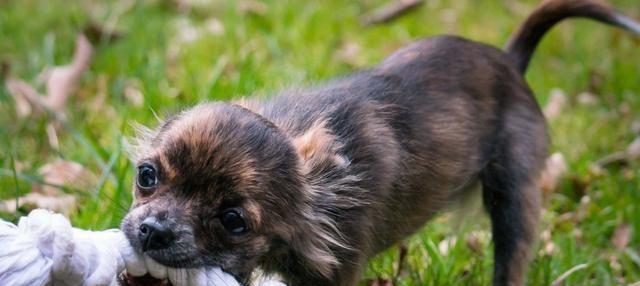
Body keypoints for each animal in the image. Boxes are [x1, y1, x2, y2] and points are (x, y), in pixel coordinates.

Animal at [121, 0, 640, 284]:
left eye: (233, 221)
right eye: (146, 176)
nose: (152, 231)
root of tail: (510, 62)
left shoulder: (334, 273)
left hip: (514, 198)